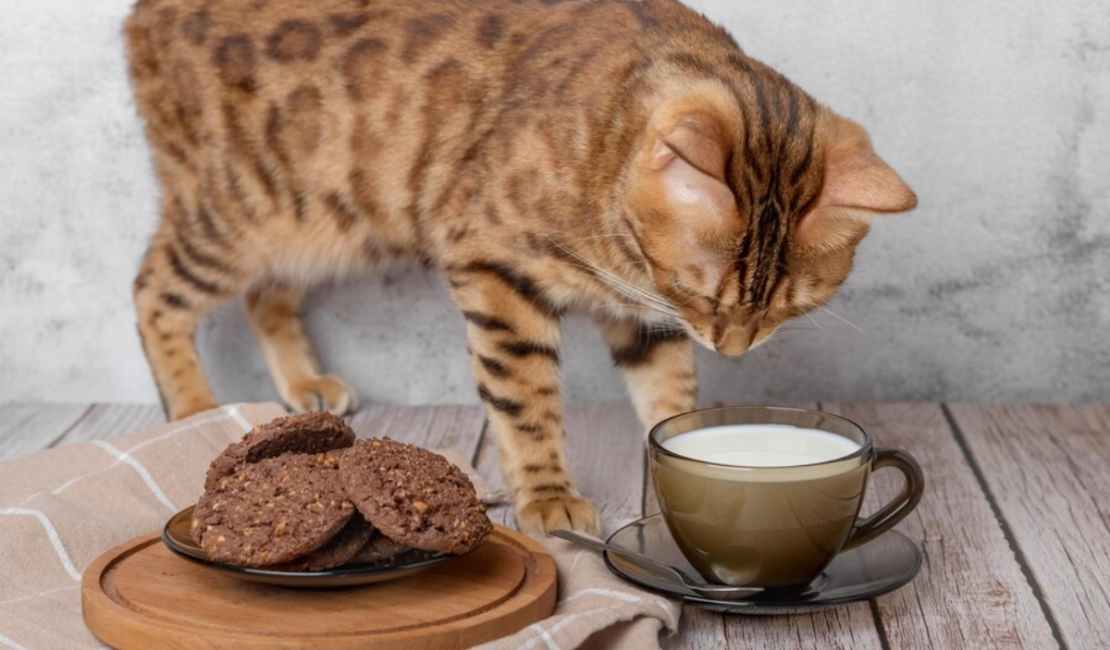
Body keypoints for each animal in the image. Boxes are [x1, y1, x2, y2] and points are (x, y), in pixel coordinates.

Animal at [123, 0, 919, 534]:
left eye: (785, 308)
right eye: (698, 291)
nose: (732, 346)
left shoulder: (645, 316)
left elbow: (668, 390)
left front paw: (682, 443)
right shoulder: (495, 267)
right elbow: (523, 398)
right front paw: (547, 495)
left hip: (314, 225)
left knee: (264, 295)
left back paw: (303, 384)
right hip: (238, 212)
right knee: (152, 291)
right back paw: (194, 413)